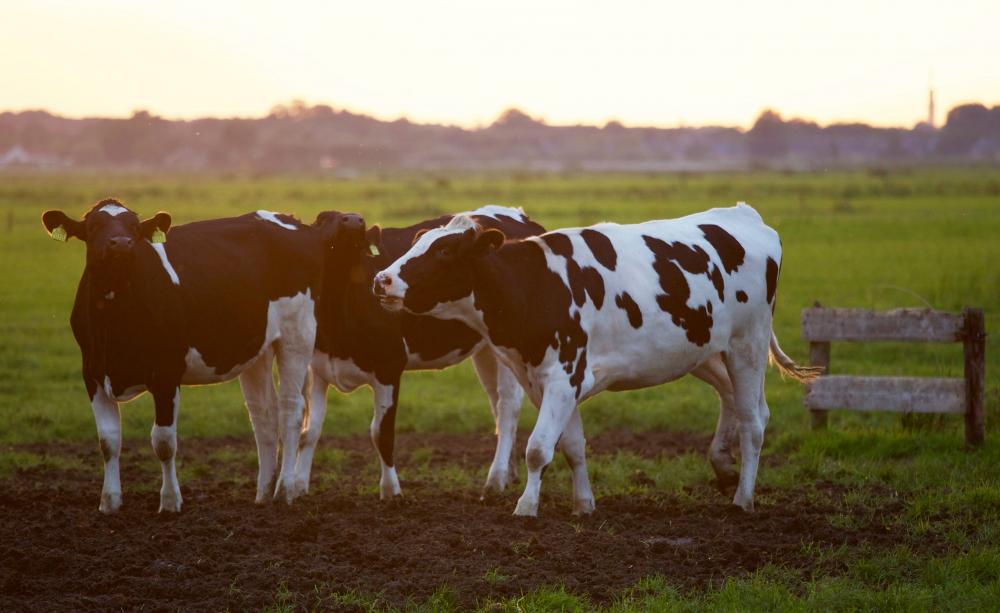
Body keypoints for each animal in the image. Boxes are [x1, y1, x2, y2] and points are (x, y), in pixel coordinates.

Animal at [41, 199, 340, 513]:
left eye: (134, 227)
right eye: (94, 226)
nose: (121, 243)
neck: (115, 320)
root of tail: (294, 221)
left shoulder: (165, 374)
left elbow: (163, 442)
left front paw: (170, 502)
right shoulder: (93, 373)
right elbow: (108, 441)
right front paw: (109, 502)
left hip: (298, 334)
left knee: (291, 410)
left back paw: (284, 491)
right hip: (257, 348)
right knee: (264, 415)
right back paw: (262, 493)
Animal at [295, 205, 546, 499]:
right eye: (322, 219)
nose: (355, 220)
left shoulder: (389, 366)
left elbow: (381, 432)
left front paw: (391, 491)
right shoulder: (318, 367)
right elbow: (309, 431)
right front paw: (297, 487)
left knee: (507, 408)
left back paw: (495, 479)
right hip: (487, 349)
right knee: (496, 403)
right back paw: (509, 473)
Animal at [373, 202, 821, 516]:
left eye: (444, 250)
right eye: (416, 243)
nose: (381, 279)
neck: (535, 285)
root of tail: (745, 215)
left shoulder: (563, 376)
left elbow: (537, 448)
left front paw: (526, 507)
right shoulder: (548, 381)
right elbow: (571, 446)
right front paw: (583, 504)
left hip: (748, 344)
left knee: (754, 421)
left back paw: (743, 498)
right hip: (704, 350)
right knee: (734, 400)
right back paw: (723, 466)